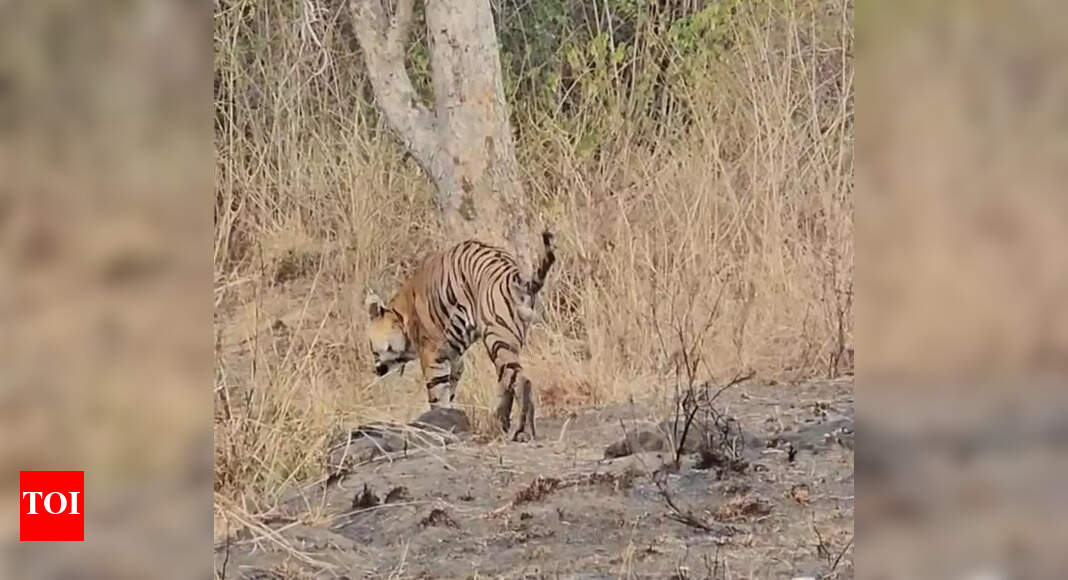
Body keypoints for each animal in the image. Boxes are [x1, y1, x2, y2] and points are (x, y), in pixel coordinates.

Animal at [365, 231, 556, 441]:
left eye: (372, 348)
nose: (375, 369)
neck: (402, 315)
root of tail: (515, 277)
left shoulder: (432, 355)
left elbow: (437, 395)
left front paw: (437, 424)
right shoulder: (454, 358)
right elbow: (449, 391)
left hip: (496, 338)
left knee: (522, 382)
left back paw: (522, 431)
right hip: (506, 342)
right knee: (507, 381)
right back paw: (501, 422)